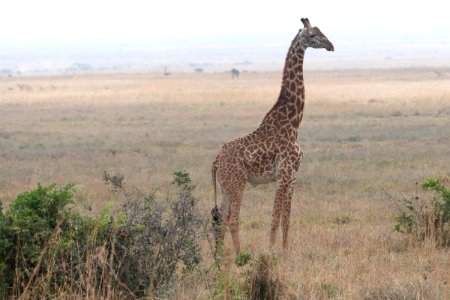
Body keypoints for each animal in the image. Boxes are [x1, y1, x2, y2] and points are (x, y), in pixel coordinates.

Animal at [211, 17, 334, 254]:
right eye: (312, 35)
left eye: (321, 31)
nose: (330, 46)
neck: (293, 123)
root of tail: (216, 161)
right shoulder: (283, 175)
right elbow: (275, 218)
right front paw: (270, 252)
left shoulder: (292, 177)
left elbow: (287, 219)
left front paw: (285, 253)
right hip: (237, 182)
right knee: (232, 219)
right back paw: (239, 254)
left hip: (224, 186)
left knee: (220, 218)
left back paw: (220, 257)